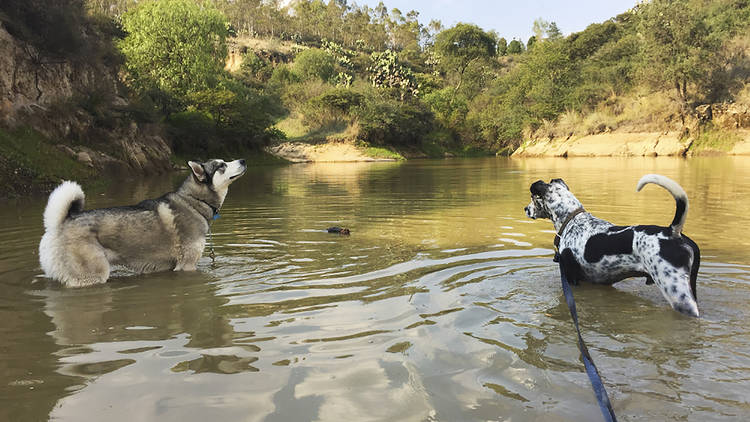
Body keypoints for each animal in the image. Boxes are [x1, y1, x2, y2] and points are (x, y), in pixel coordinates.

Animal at [39, 158, 247, 286]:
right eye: (221, 165)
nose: (243, 160)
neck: (193, 201)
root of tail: (59, 223)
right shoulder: (187, 266)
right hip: (91, 276)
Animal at [524, 175, 704, 316]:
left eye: (533, 198)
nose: (525, 209)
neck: (572, 220)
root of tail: (673, 231)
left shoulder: (571, 279)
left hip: (677, 293)